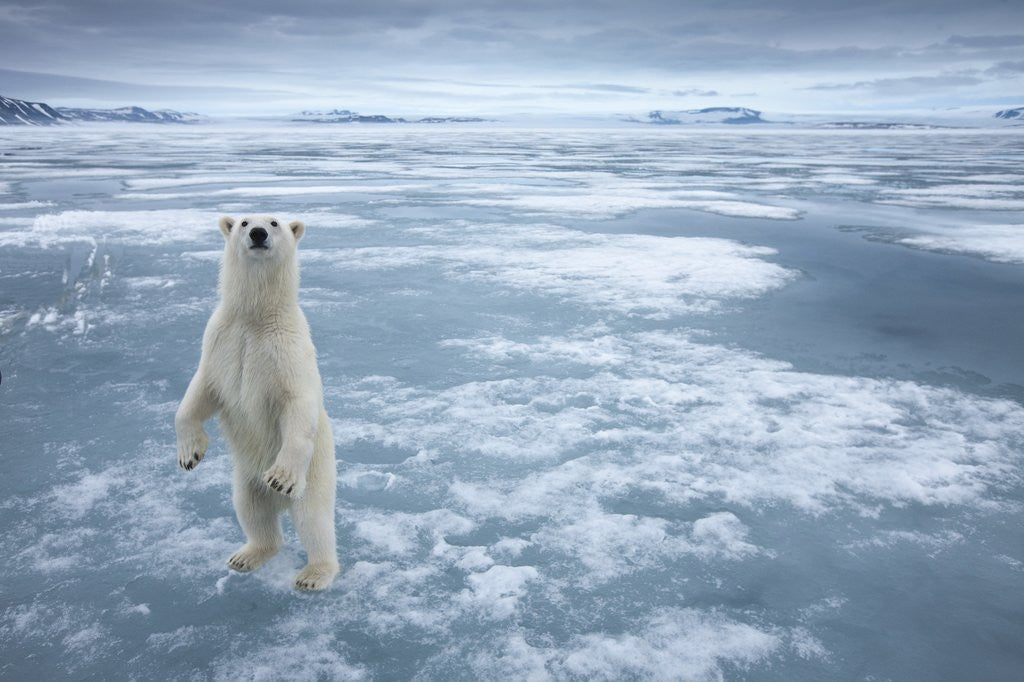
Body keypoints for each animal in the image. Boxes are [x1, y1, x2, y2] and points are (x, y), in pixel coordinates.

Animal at [175, 215, 338, 591]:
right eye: (244, 221)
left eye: (275, 222)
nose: (258, 233)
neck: (255, 317)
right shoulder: (221, 341)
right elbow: (199, 393)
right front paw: (190, 454)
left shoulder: (287, 350)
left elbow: (297, 404)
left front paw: (280, 476)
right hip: (245, 479)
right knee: (251, 511)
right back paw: (246, 555)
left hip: (316, 473)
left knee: (314, 520)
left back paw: (314, 574)